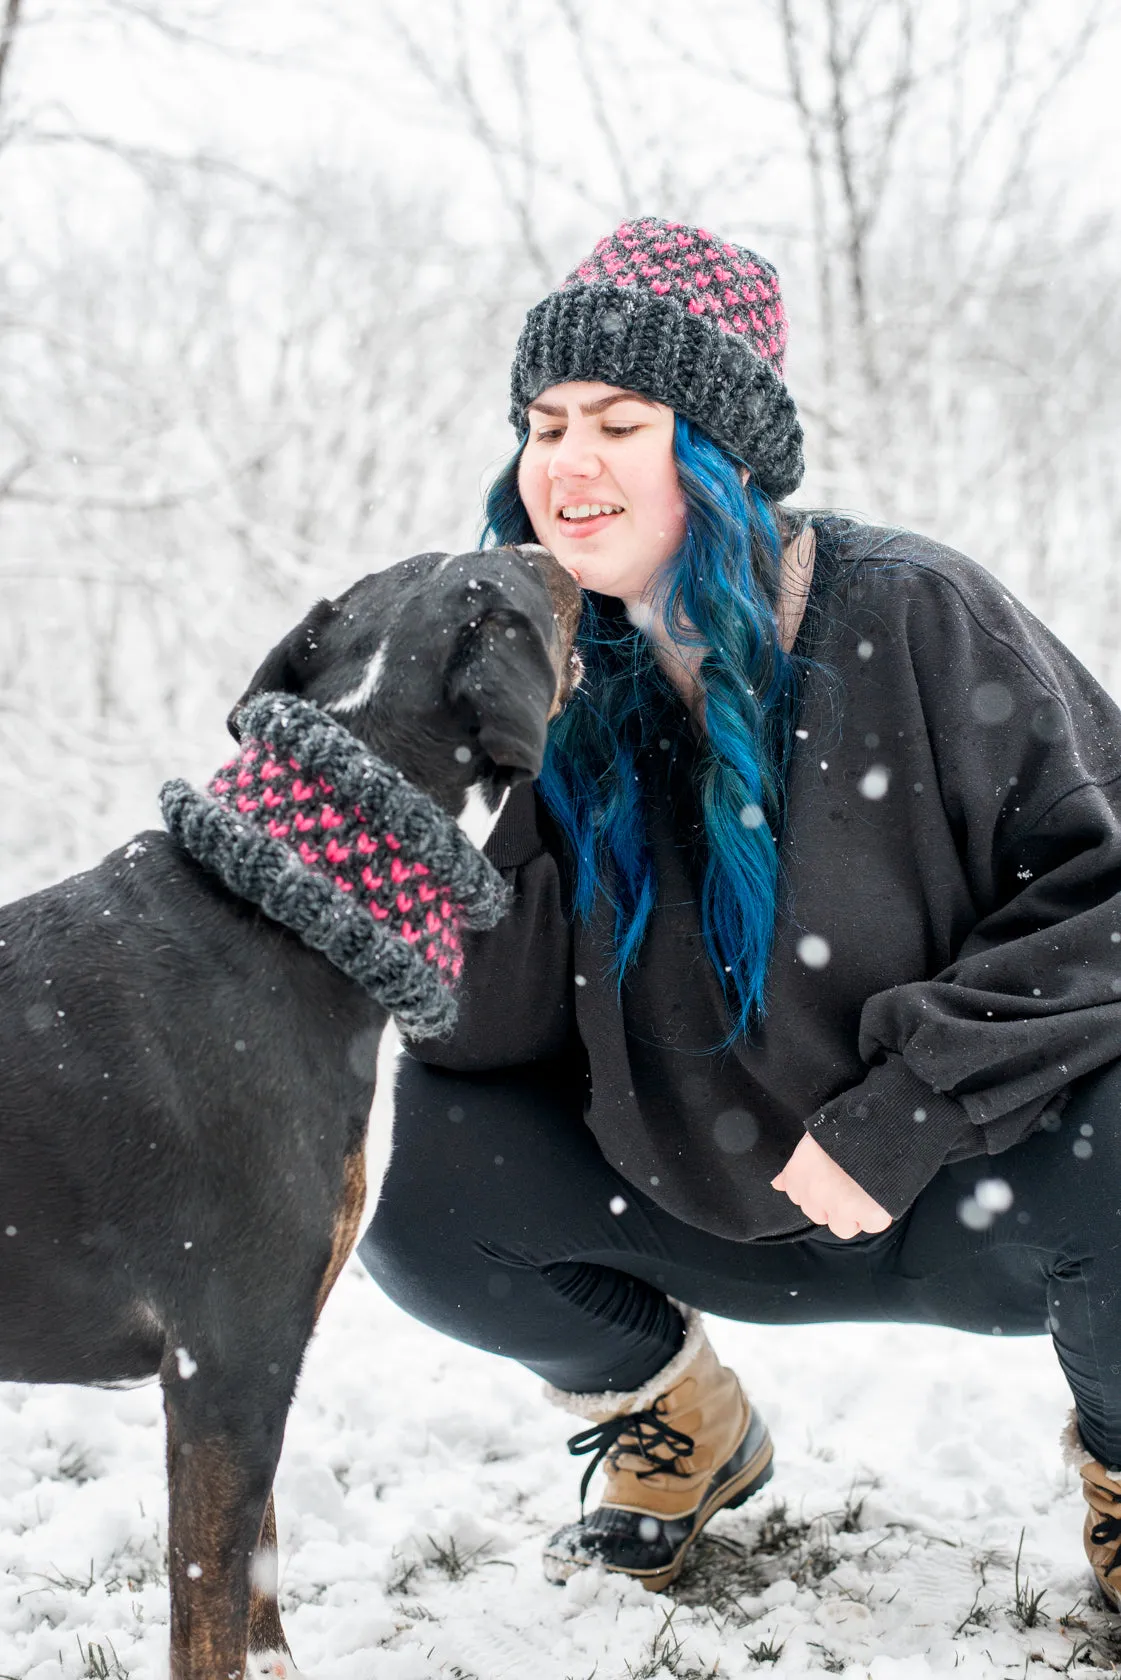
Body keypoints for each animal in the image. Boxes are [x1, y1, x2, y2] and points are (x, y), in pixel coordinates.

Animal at [0, 544, 578, 1673]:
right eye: (524, 583)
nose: (552, 547)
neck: (298, 901)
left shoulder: (265, 1356)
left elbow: (259, 1560)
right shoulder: (225, 1363)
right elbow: (209, 1605)